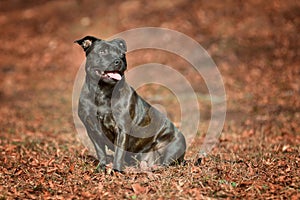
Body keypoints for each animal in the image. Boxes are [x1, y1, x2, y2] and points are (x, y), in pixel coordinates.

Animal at [75, 35, 186, 171]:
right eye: (102, 51)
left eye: (122, 54)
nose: (118, 60)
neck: (102, 92)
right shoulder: (92, 130)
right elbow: (100, 151)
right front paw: (101, 167)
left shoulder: (122, 129)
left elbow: (119, 153)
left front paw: (116, 170)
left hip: (173, 146)